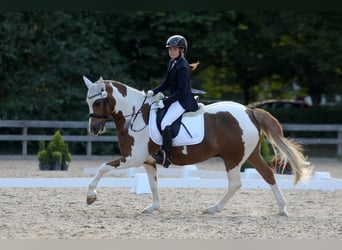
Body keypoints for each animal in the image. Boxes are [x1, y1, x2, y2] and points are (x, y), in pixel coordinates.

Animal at [83, 75, 312, 215]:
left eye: (98, 102)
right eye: (88, 102)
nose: (93, 129)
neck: (136, 116)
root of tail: (250, 110)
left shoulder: (133, 158)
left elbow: (102, 168)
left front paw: (91, 196)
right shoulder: (147, 160)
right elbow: (153, 183)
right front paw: (153, 207)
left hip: (233, 158)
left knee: (235, 183)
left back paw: (213, 208)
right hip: (251, 155)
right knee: (268, 174)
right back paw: (282, 208)